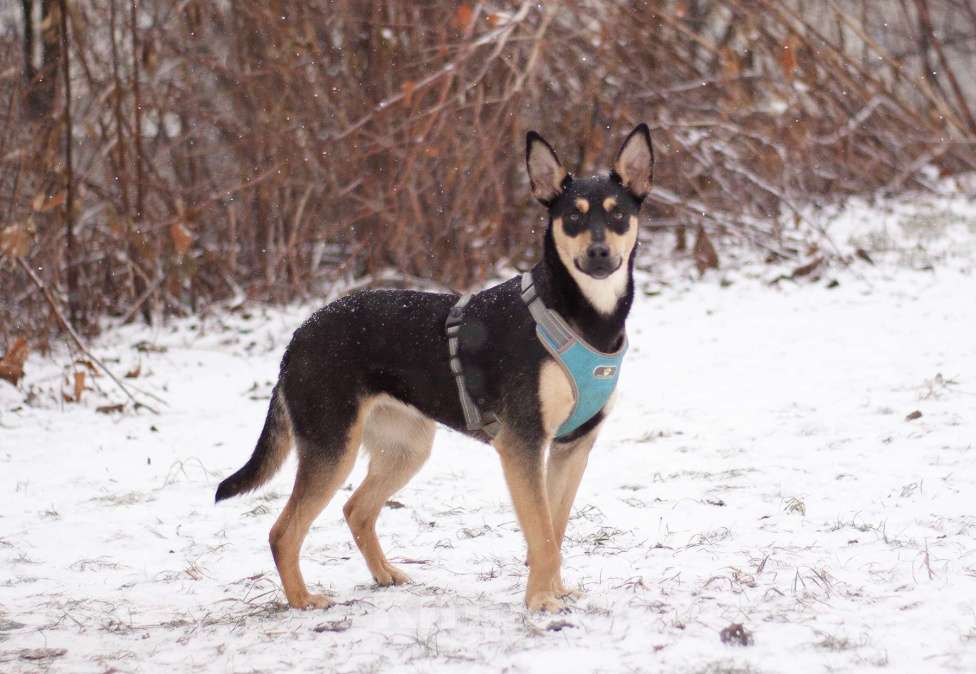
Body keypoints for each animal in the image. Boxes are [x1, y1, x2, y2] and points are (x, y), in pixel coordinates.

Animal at [215, 123, 656, 612]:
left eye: (618, 215)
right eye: (573, 218)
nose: (598, 254)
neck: (580, 314)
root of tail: (297, 337)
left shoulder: (572, 446)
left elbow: (554, 529)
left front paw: (554, 590)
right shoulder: (522, 443)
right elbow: (541, 533)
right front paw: (541, 601)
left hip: (406, 446)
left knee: (356, 510)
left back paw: (385, 574)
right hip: (333, 446)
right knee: (283, 531)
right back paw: (303, 600)